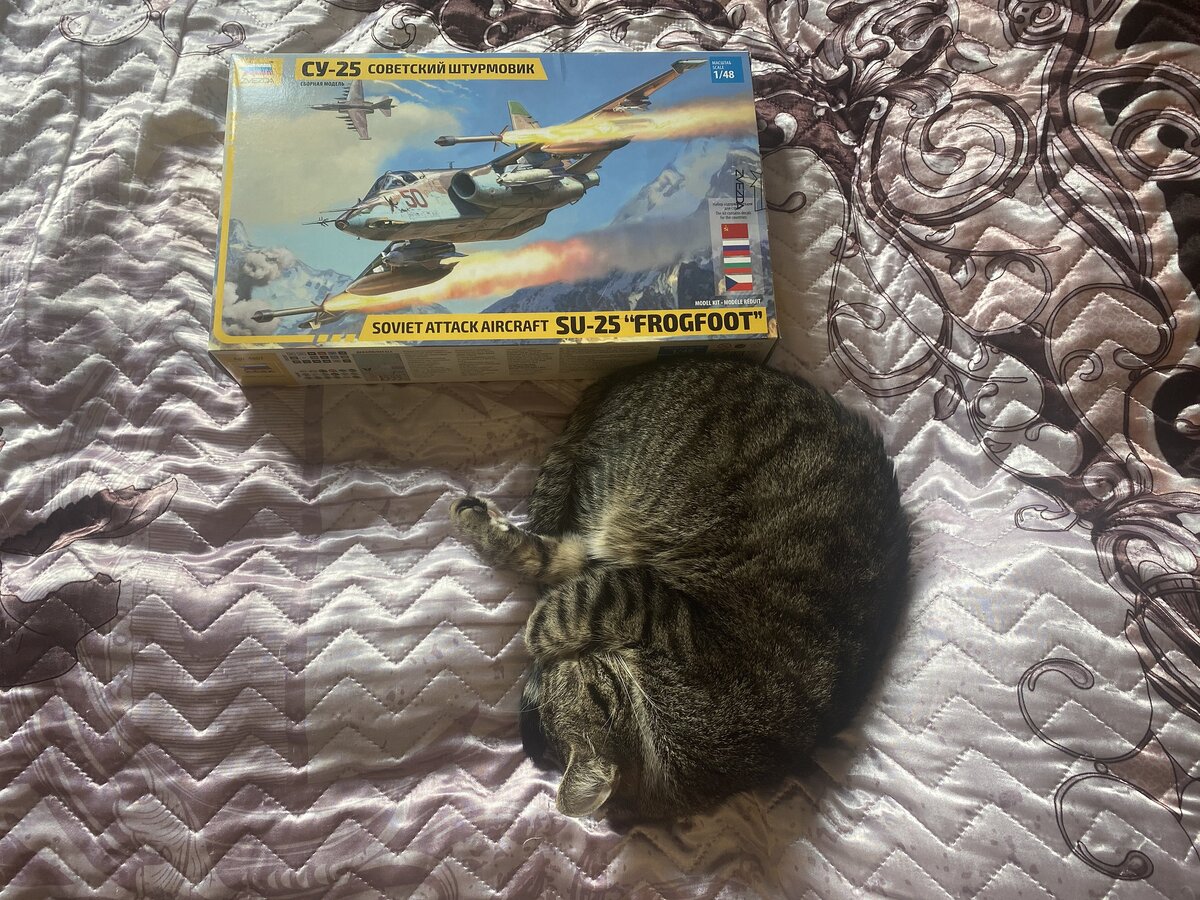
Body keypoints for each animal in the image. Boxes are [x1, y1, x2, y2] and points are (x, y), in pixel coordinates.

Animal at [451, 357, 910, 819]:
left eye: (556, 681)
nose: (541, 671)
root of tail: (627, 375)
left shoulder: (651, 606)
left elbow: (550, 614)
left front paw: (539, 633)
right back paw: (472, 518)